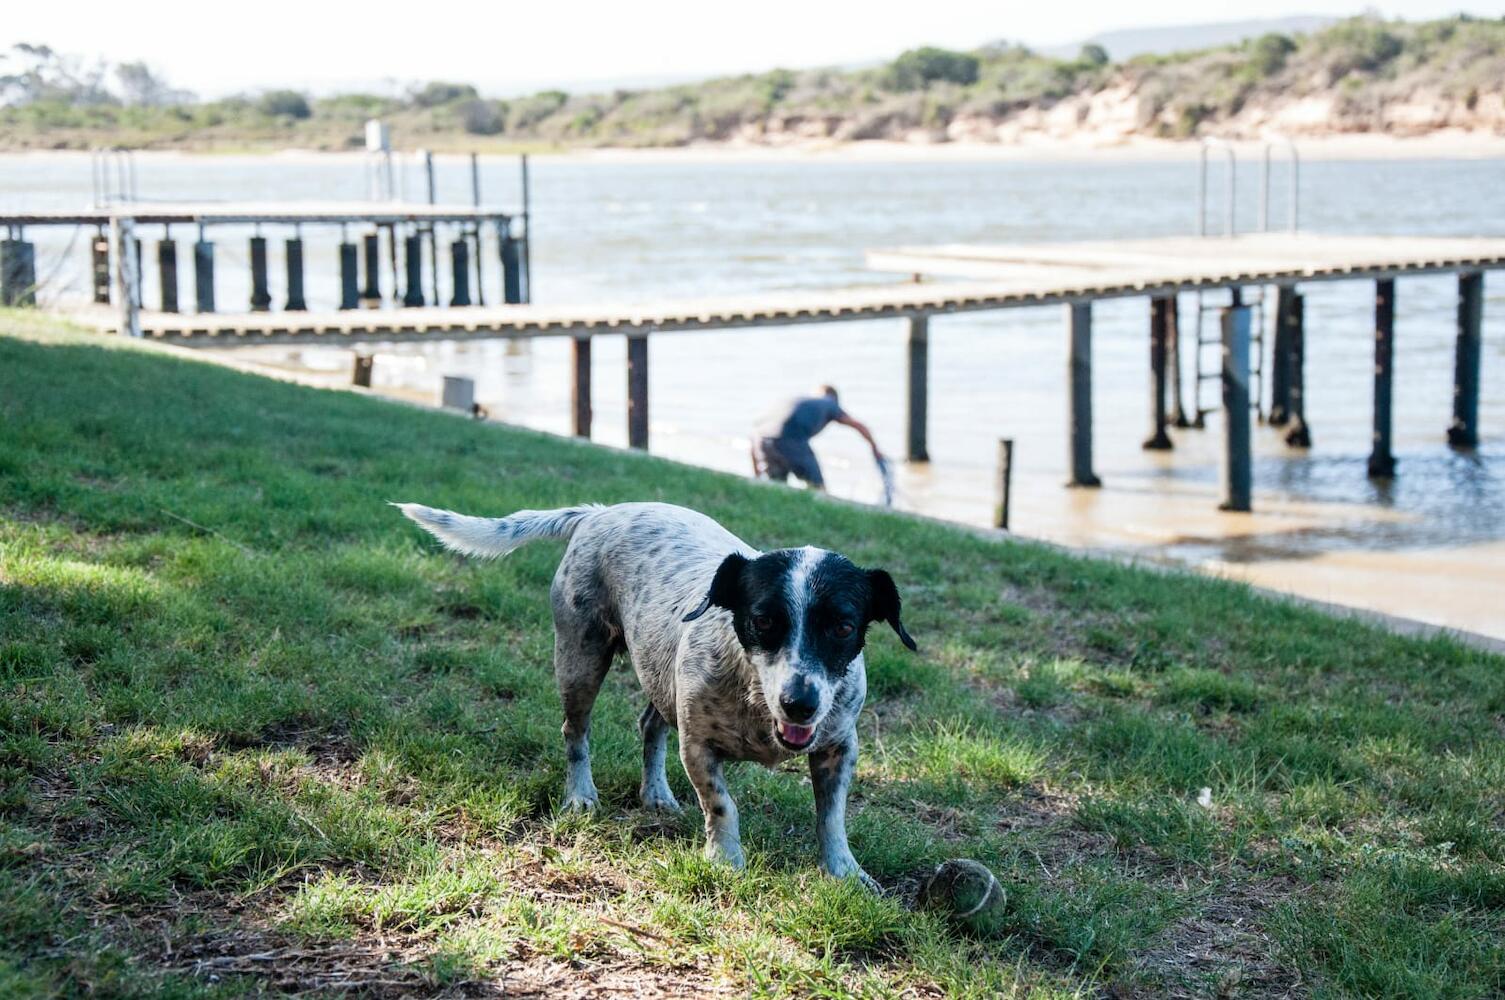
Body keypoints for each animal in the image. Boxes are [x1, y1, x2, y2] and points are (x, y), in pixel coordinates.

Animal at [394, 500, 909, 885]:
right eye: (763, 621)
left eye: (843, 627)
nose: (799, 704)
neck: (756, 700)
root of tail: (600, 512)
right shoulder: (697, 746)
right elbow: (722, 804)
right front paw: (726, 859)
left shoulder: (839, 748)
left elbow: (832, 817)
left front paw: (844, 871)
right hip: (580, 661)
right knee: (575, 732)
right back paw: (580, 794)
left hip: (659, 673)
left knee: (649, 725)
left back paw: (656, 792)